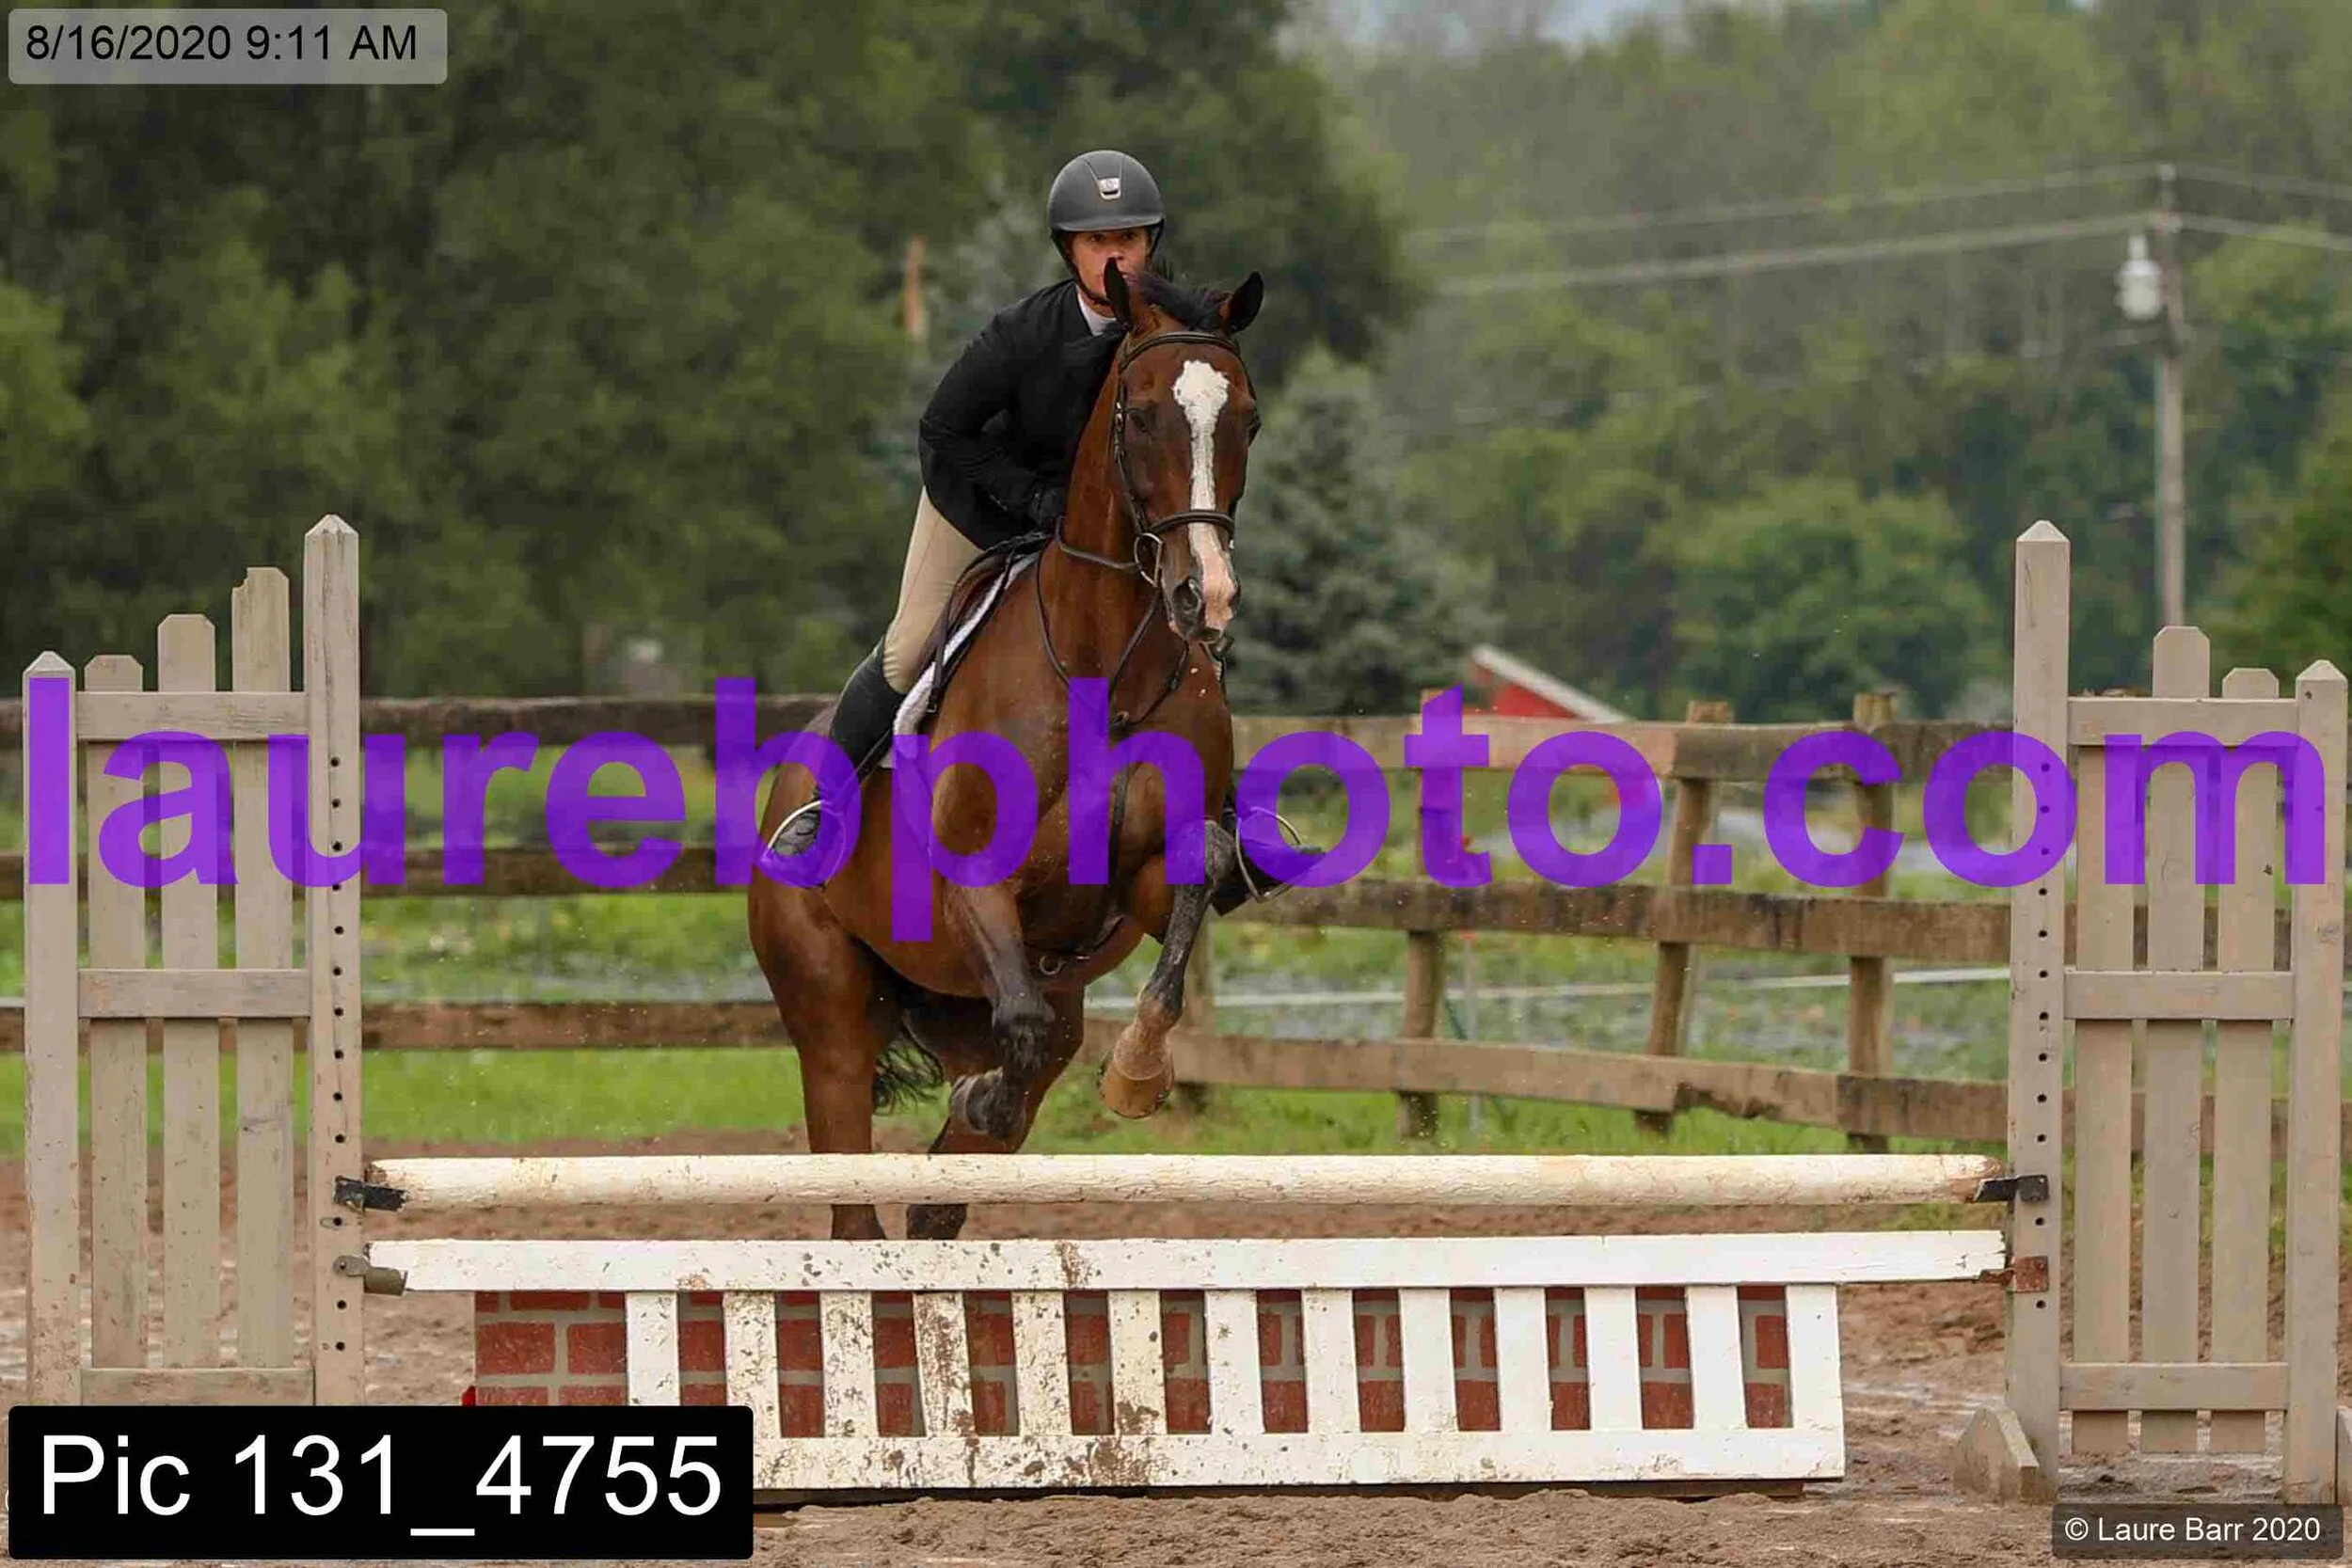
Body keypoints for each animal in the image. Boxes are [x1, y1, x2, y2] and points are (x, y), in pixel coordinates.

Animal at [748, 260, 1268, 1241]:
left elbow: (1190, 900)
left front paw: (1135, 1073)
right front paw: (993, 1090)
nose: (1206, 596)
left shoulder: (1144, 878)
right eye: (1142, 414)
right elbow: (1017, 1028)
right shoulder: (974, 884)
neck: (1105, 668)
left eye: (1247, 418)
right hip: (830, 1016)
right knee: (854, 1191)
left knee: (956, 1172)